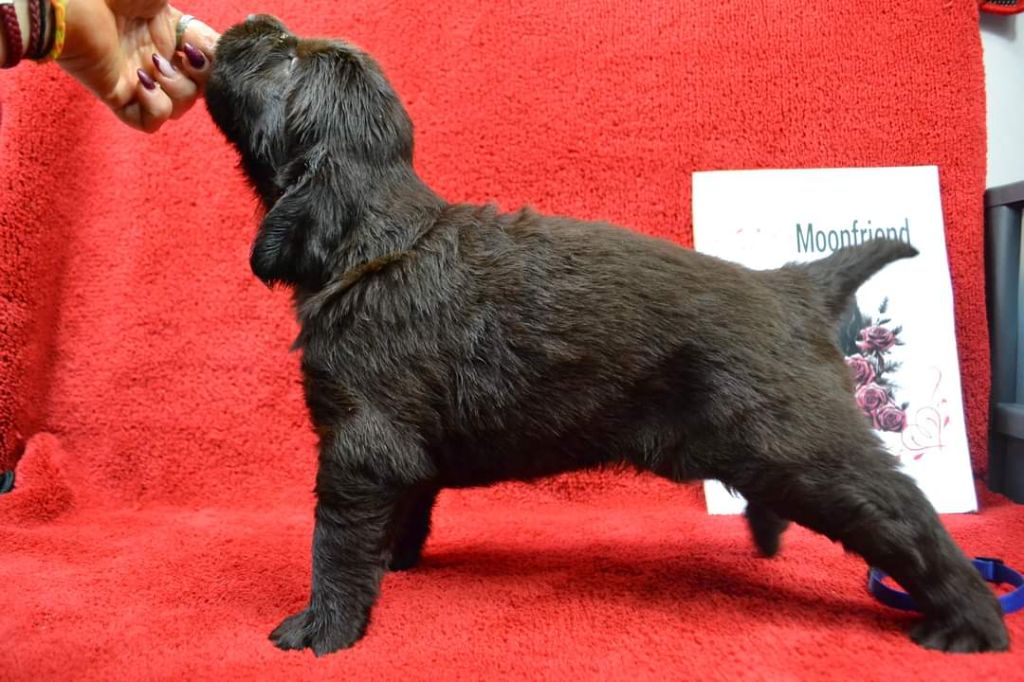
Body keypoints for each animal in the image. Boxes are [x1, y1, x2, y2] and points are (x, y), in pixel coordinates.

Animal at [205, 15, 1009, 656]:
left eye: (281, 56)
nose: (252, 20)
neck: (374, 237)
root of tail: (795, 286)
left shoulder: (360, 443)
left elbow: (335, 539)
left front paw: (325, 627)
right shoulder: (395, 449)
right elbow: (404, 507)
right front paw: (393, 562)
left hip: (803, 446)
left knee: (907, 516)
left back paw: (970, 625)